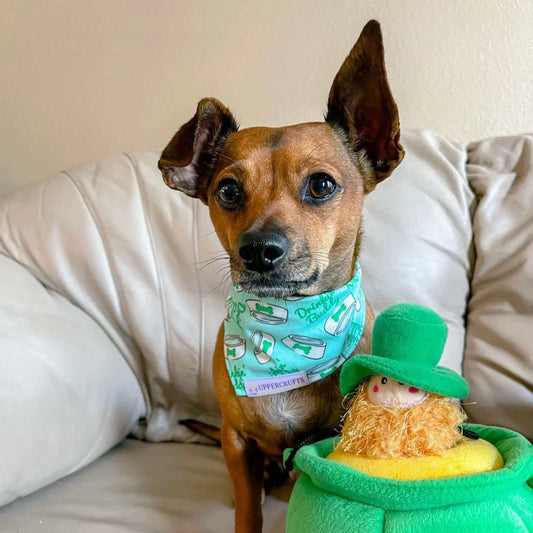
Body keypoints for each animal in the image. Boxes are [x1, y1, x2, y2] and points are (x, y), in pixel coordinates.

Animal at [158, 19, 404, 532]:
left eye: (322, 185)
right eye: (228, 191)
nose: (258, 250)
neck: (287, 327)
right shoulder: (236, 442)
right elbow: (248, 508)